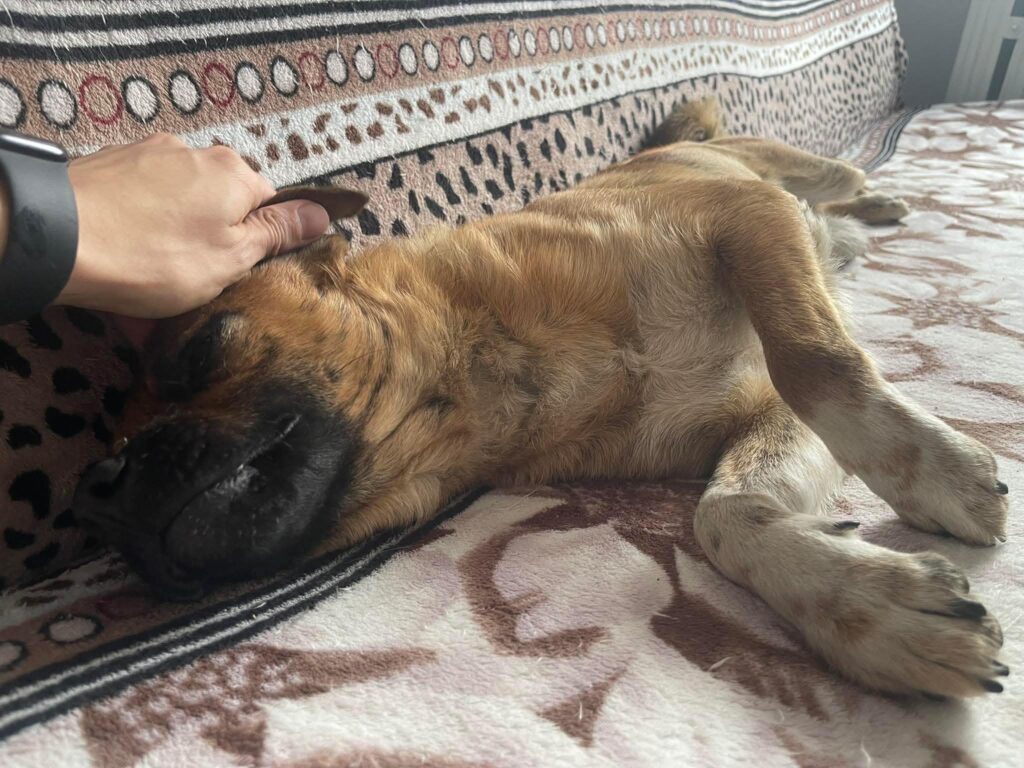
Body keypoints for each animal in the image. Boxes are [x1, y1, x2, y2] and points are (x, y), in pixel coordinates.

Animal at [76, 99, 1009, 698]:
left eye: (196, 349)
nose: (100, 488)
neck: (497, 371)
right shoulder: (765, 411)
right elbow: (726, 518)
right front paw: (870, 609)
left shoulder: (747, 218)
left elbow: (819, 362)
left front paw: (941, 476)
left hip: (803, 173)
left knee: (838, 188)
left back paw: (876, 200)